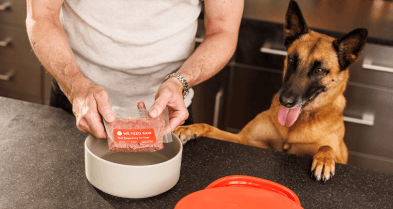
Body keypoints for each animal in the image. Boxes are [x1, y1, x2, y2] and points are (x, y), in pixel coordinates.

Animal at [175, 0, 368, 181]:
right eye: (292, 60)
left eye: (319, 70)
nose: (285, 101)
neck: (293, 128)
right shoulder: (244, 140)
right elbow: (209, 127)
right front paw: (190, 128)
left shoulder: (338, 153)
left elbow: (327, 146)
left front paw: (324, 160)